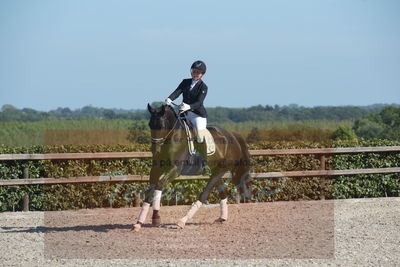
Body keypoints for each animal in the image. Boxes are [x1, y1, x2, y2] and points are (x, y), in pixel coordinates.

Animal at [133, 104, 252, 232]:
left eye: (161, 126)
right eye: (150, 125)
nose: (155, 150)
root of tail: (233, 135)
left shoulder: (175, 169)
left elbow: (159, 185)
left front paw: (155, 217)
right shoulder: (156, 169)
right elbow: (151, 189)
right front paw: (139, 222)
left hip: (220, 170)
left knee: (204, 195)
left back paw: (182, 221)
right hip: (215, 171)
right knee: (222, 192)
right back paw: (222, 218)